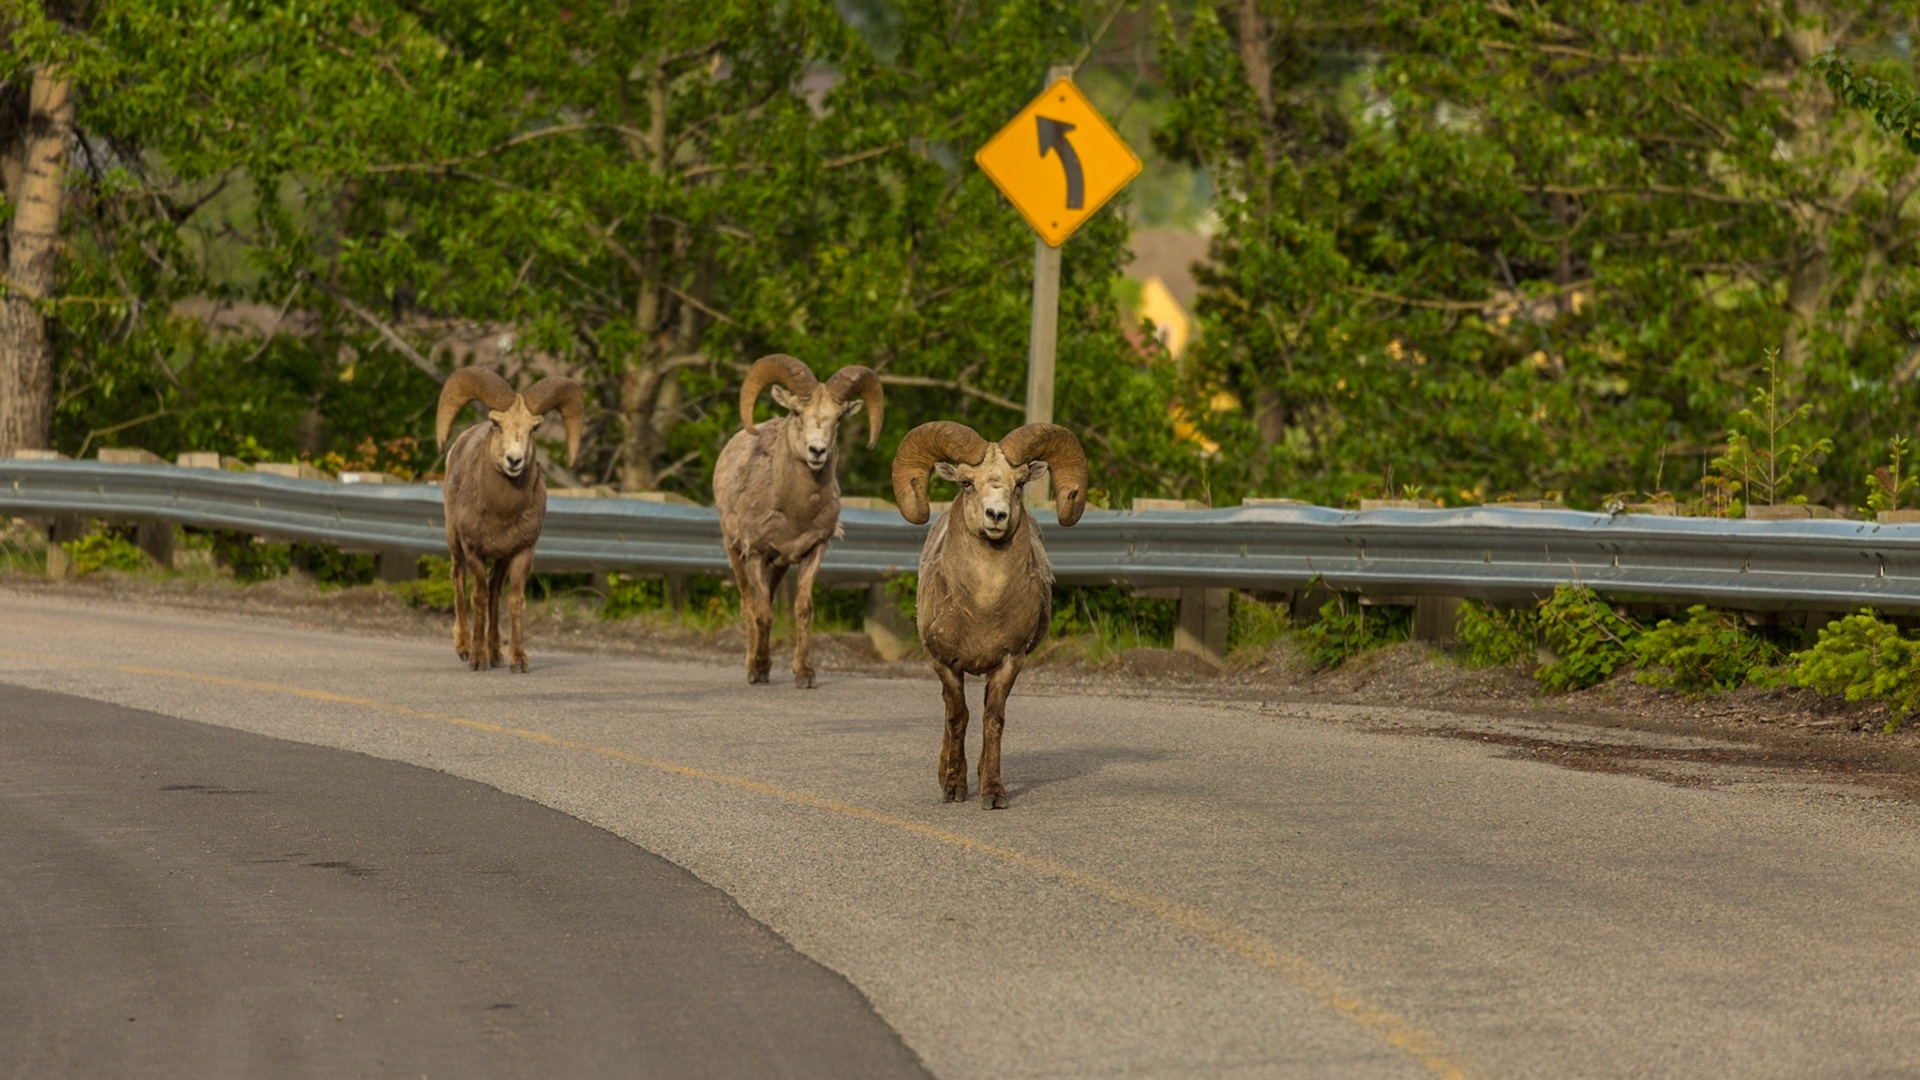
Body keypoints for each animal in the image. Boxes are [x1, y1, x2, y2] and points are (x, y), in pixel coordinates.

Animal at [435, 366, 584, 673]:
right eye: (497, 424)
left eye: (534, 428)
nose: (514, 460)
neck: (501, 513)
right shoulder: (474, 550)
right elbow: (477, 597)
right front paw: (477, 659)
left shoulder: (522, 551)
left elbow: (514, 600)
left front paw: (518, 660)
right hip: (454, 542)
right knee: (459, 579)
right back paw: (464, 648)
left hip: (501, 558)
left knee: (494, 591)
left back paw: (496, 654)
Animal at [712, 354, 884, 688]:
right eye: (796, 412)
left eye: (838, 418)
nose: (817, 451)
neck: (794, 514)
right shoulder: (756, 553)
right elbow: (763, 614)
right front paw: (760, 669)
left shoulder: (813, 551)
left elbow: (803, 610)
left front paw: (805, 674)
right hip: (735, 552)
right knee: (748, 605)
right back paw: (752, 666)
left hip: (778, 566)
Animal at [890, 420, 1088, 808]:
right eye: (967, 483)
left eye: (1020, 483)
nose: (996, 516)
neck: (982, 605)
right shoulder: (945, 663)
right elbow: (957, 717)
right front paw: (953, 788)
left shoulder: (1009, 662)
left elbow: (992, 719)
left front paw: (993, 793)